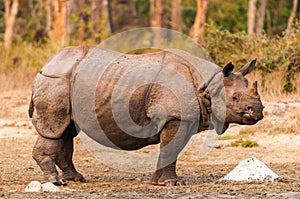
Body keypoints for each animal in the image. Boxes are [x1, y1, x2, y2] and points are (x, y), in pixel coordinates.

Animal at [27, 45, 262, 186]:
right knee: (54, 128)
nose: (258, 112)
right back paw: (55, 182)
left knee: (66, 130)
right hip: (56, 81)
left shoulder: (182, 117)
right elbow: (171, 149)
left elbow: (170, 150)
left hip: (66, 82)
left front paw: (157, 182)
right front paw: (173, 184)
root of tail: (46, 64)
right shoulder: (176, 116)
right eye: (234, 98)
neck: (209, 84)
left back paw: (76, 179)